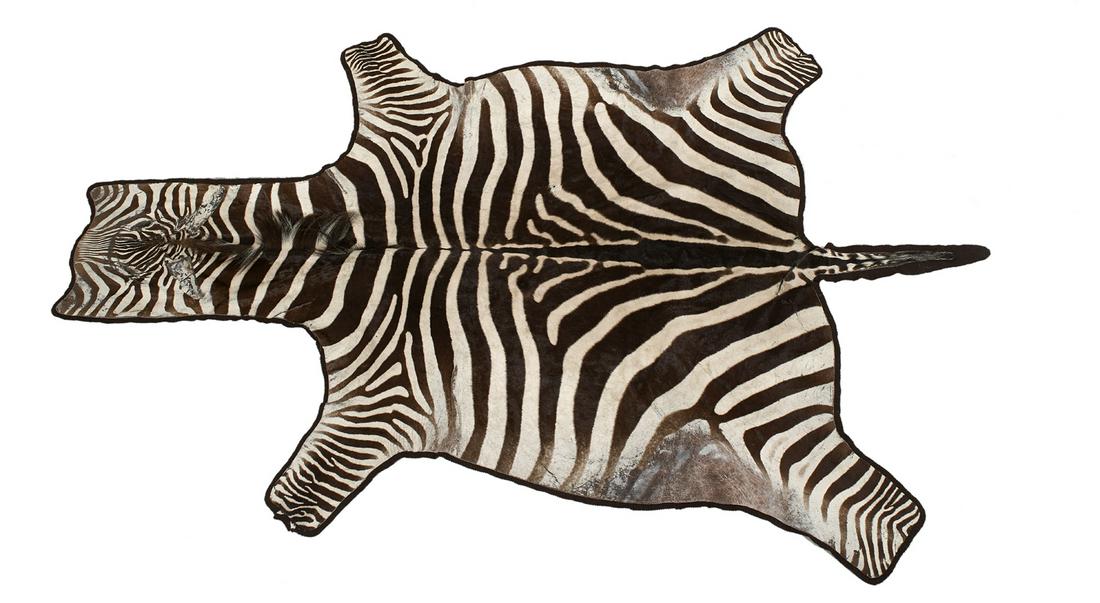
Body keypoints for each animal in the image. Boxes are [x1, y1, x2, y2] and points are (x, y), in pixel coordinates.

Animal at [54, 28, 988, 583]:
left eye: (111, 272)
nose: (80, 245)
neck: (316, 244)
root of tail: (787, 248)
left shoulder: (374, 397)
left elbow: (305, 488)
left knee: (878, 514)